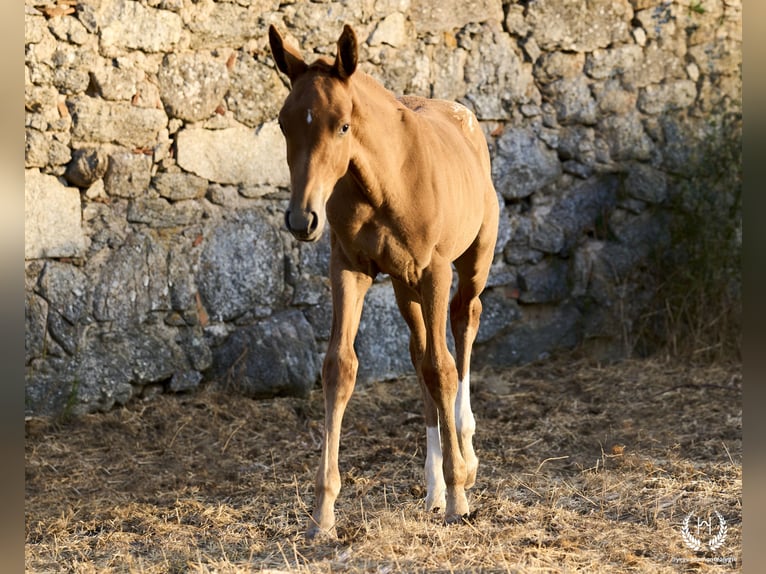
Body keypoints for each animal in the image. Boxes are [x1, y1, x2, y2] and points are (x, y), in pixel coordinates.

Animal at [272, 23, 504, 540]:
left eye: (342, 125)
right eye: (284, 124)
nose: (302, 219)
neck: (383, 180)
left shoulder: (436, 269)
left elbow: (443, 369)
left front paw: (460, 495)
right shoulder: (349, 268)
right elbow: (340, 368)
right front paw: (323, 514)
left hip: (471, 262)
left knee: (465, 323)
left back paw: (467, 456)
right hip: (404, 285)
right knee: (419, 354)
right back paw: (433, 489)